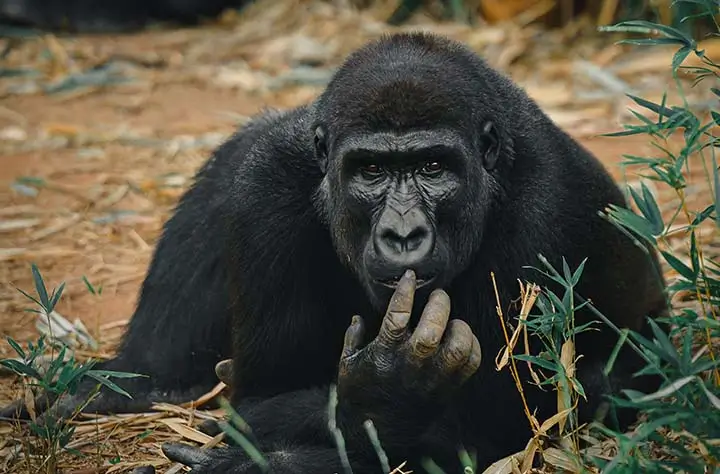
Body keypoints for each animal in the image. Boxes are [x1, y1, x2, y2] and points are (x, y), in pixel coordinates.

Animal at [1, 31, 668, 472]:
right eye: (371, 171)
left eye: (433, 168)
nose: (403, 234)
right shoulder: (269, 181)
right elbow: (264, 396)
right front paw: (383, 396)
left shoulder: (545, 213)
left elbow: (479, 437)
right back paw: (141, 383)